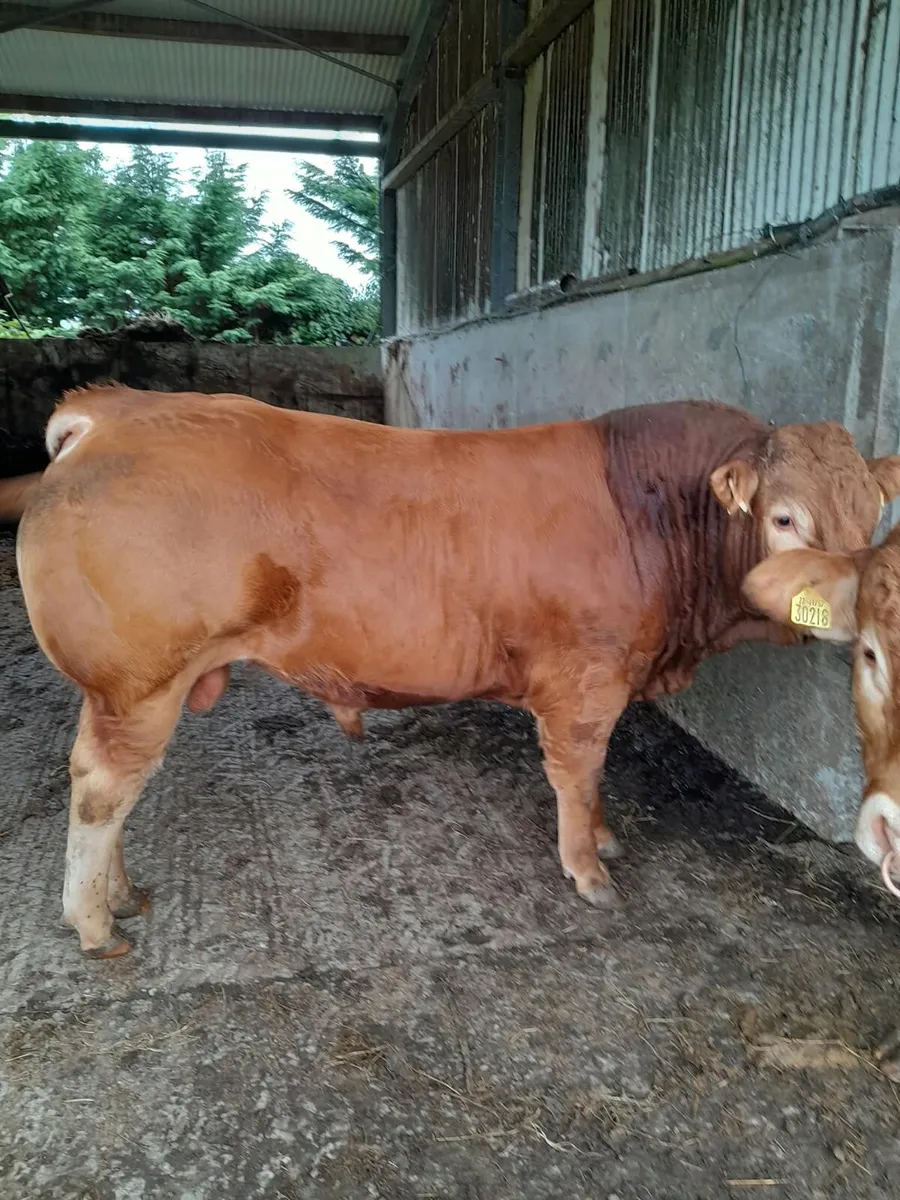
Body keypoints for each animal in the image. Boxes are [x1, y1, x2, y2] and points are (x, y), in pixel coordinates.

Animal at [15, 385, 900, 959]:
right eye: (784, 518)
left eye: (871, 514)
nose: (852, 603)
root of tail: (117, 408)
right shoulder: (585, 679)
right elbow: (578, 771)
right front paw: (587, 868)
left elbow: (595, 777)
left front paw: (604, 838)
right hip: (136, 684)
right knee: (100, 792)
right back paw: (94, 924)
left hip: (129, 689)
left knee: (119, 792)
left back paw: (120, 894)